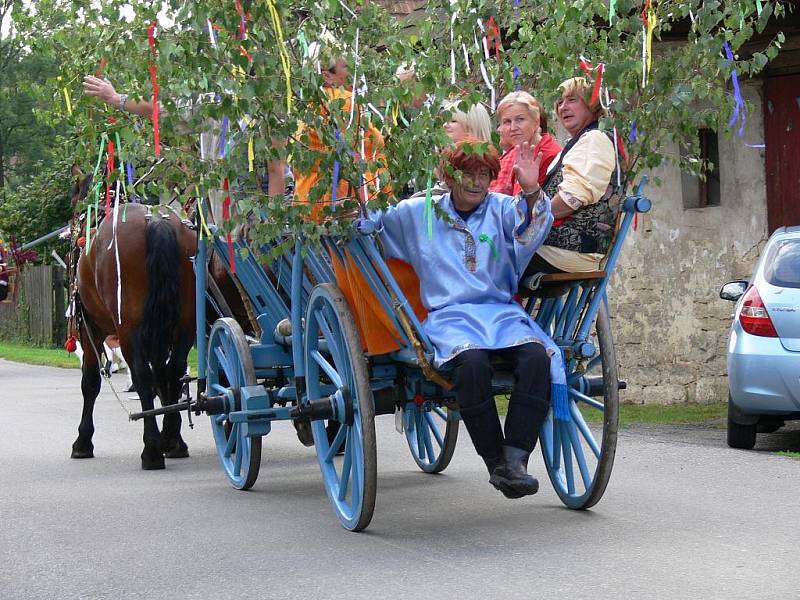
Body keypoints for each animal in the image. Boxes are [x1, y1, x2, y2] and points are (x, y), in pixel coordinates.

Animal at [70, 178, 198, 468]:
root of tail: (156, 221)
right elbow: (163, 377)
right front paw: (173, 437)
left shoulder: (90, 328)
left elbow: (90, 381)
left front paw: (83, 441)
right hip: (185, 323)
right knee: (174, 370)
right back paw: (171, 440)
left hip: (129, 329)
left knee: (142, 375)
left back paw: (151, 449)